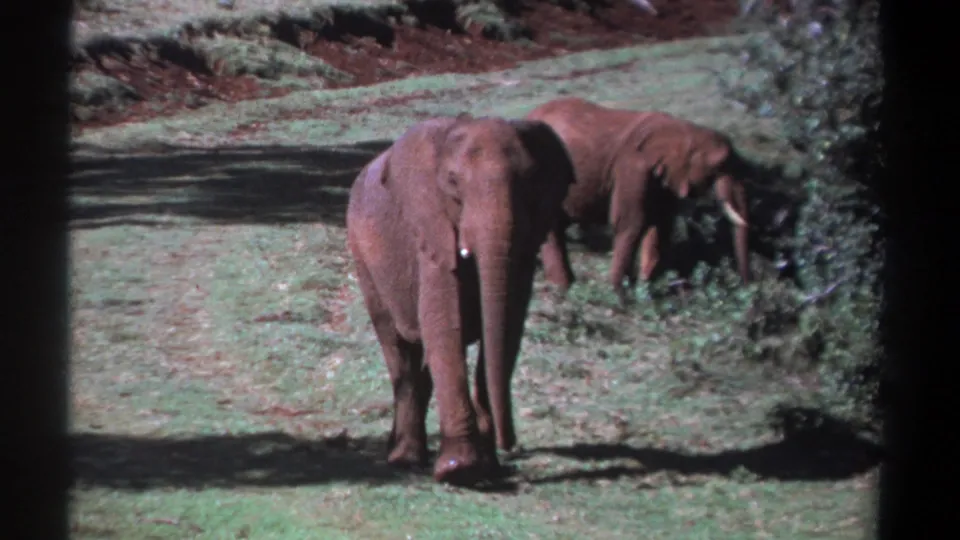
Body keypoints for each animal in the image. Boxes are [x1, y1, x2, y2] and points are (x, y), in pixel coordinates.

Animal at [345, 113, 575, 486]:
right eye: (453, 182)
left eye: (530, 182)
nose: (510, 445)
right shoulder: (431, 230)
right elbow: (443, 323)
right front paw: (462, 470)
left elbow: (508, 327)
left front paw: (487, 467)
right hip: (363, 257)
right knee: (398, 350)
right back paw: (404, 460)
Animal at [525, 97, 751, 301]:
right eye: (719, 165)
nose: (746, 285)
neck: (683, 130)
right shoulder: (632, 167)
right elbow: (631, 222)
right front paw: (620, 295)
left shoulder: (665, 178)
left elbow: (661, 226)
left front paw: (647, 288)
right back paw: (563, 288)